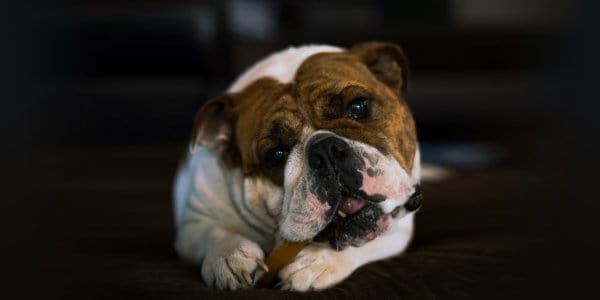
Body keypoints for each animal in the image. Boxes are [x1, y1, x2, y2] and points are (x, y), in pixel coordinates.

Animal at [171, 41, 420, 290]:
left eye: (358, 107)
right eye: (276, 155)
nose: (324, 150)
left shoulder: (399, 229)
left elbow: (368, 245)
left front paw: (318, 263)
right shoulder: (192, 224)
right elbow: (213, 233)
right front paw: (229, 256)